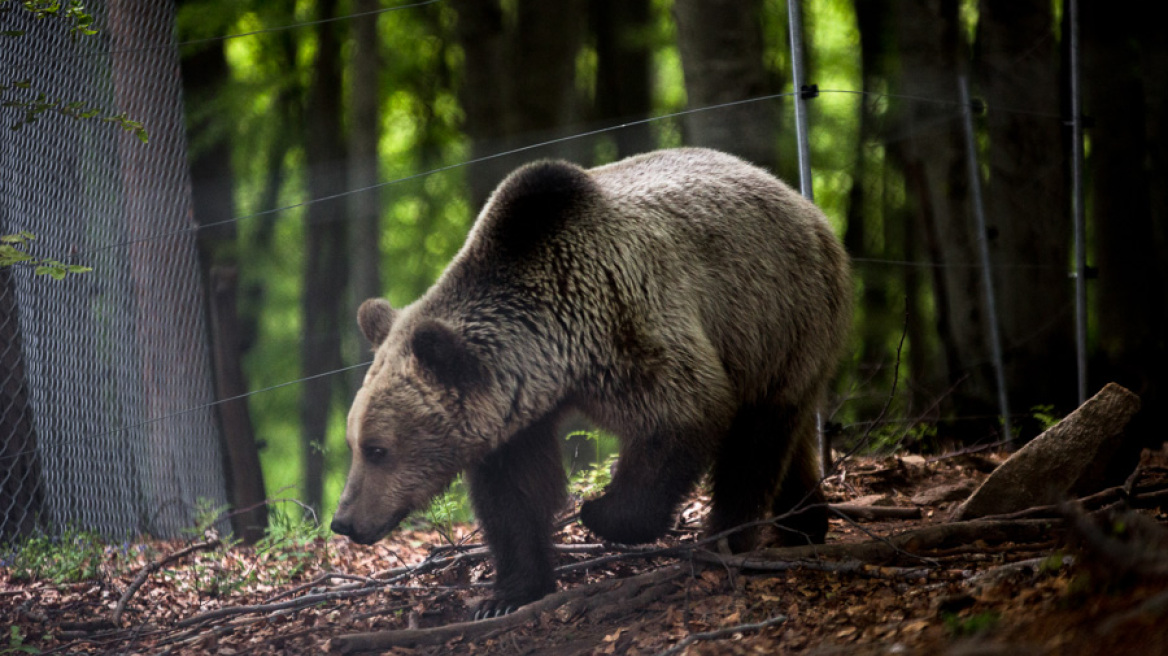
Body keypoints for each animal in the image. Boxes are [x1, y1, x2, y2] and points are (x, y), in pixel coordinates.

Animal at [329, 145, 850, 616]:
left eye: (377, 449)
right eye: (355, 444)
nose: (344, 521)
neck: (559, 352)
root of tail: (803, 203)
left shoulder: (626, 322)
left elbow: (685, 411)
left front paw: (599, 513)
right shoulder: (516, 410)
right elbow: (515, 493)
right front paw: (506, 595)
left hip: (778, 311)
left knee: (755, 441)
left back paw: (726, 541)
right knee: (787, 440)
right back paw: (804, 523)